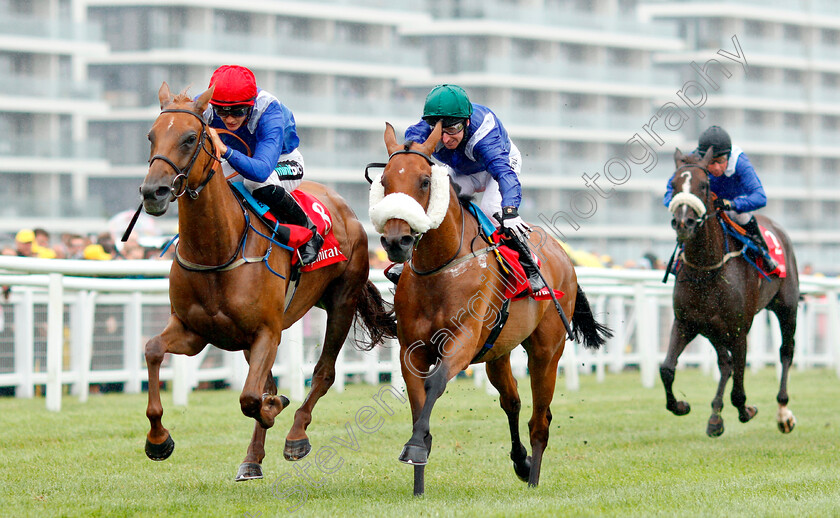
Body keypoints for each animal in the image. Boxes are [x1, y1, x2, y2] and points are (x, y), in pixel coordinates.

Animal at [141, 82, 398, 484]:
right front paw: (158, 440)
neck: (219, 250)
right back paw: (252, 458)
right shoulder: (193, 331)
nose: (153, 192)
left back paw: (296, 435)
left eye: (189, 138)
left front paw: (274, 409)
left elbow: (250, 397)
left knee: (323, 373)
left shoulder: (267, 331)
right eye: (151, 136)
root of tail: (344, 207)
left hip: (341, 301)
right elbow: (153, 350)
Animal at [368, 122, 612, 496]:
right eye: (384, 181)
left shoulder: (464, 340)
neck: (440, 267)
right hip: (498, 352)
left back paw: (534, 479)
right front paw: (418, 479)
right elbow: (418, 401)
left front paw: (415, 447)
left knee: (540, 419)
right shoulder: (413, 349)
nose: (397, 241)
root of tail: (562, 255)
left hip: (546, 350)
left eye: (424, 181)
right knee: (512, 401)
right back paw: (522, 463)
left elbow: (435, 384)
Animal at [664, 149, 800, 438]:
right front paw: (680, 405)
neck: (707, 269)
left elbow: (739, 386)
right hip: (713, 328)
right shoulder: (686, 322)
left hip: (787, 307)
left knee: (786, 351)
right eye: (674, 184)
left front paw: (747, 410)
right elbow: (667, 369)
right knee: (724, 363)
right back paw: (715, 416)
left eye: (704, 185)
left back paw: (783, 413)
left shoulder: (739, 329)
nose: (683, 223)